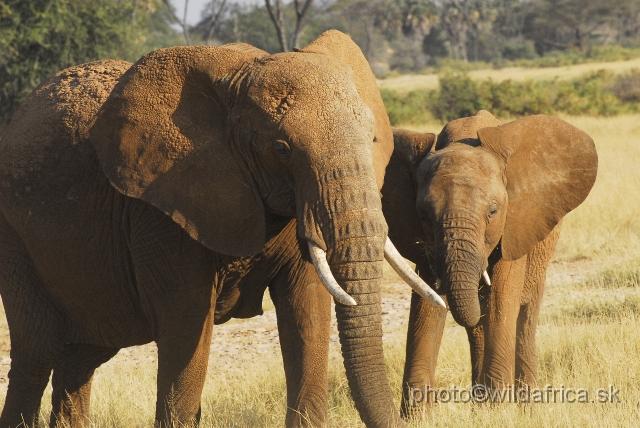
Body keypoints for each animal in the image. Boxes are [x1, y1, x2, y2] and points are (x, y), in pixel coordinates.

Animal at [0, 30, 440, 428]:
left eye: (372, 139)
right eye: (281, 149)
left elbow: (307, 310)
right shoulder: (160, 209)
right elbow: (187, 324)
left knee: (81, 358)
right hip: (15, 242)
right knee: (36, 355)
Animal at [384, 110, 600, 414]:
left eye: (493, 212)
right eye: (424, 214)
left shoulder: (515, 224)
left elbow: (501, 300)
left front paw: (500, 412)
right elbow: (426, 305)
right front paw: (417, 417)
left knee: (525, 315)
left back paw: (525, 405)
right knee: (479, 325)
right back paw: (481, 403)